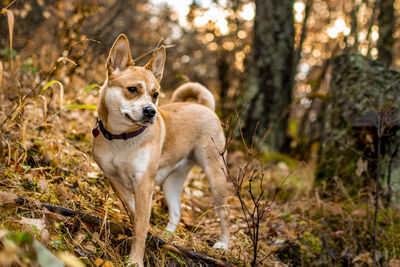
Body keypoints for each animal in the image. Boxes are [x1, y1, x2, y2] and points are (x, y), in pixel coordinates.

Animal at [91, 34, 228, 266]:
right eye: (133, 89)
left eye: (155, 94)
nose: (150, 111)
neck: (121, 138)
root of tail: (205, 107)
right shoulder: (115, 180)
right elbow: (135, 213)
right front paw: (147, 232)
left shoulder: (144, 184)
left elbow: (140, 227)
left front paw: (135, 260)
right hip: (172, 182)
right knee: (176, 212)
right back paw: (167, 237)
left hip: (216, 177)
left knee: (223, 213)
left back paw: (223, 244)